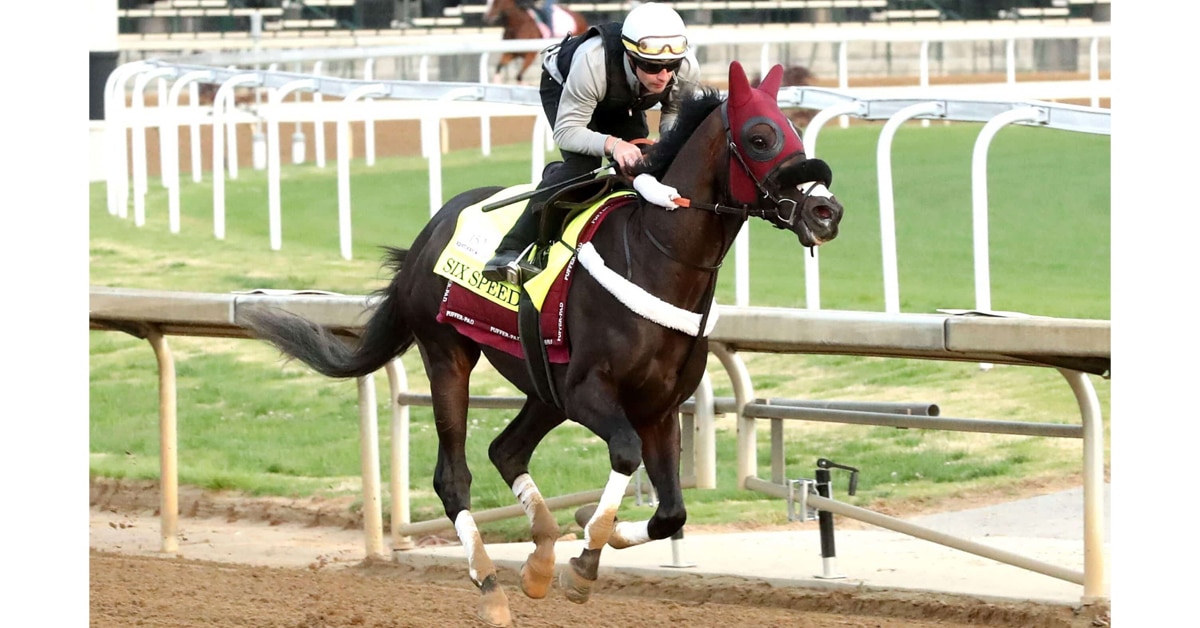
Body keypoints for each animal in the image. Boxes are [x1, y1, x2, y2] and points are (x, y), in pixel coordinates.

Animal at [239, 61, 844, 627]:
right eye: (761, 137)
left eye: (795, 129)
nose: (826, 212)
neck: (656, 259)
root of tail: (427, 233)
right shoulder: (589, 394)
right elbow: (625, 455)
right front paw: (585, 562)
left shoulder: (659, 407)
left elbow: (672, 512)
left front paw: (594, 536)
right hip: (449, 356)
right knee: (453, 477)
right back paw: (491, 587)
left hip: (541, 383)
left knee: (506, 450)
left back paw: (541, 559)